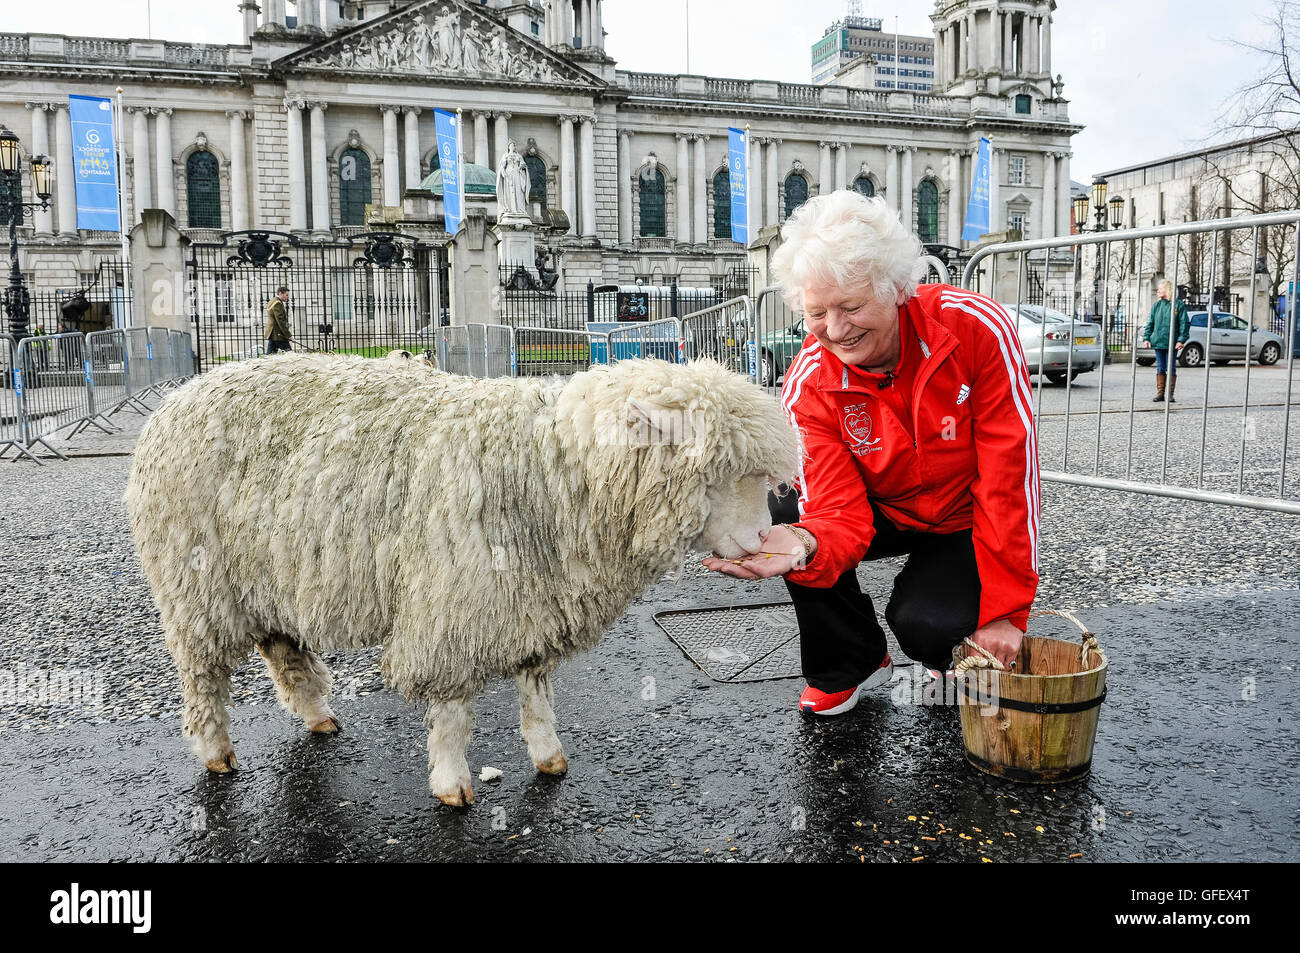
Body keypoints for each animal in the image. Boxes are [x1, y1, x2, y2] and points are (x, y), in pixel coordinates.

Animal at [124, 353, 790, 806]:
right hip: (195, 582)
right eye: (725, 471)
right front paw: (451, 783)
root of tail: (174, 401)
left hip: (266, 573)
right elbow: (450, 710)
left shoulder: (533, 597)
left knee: (283, 648)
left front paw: (548, 756)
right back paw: (216, 752)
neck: (555, 468)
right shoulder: (452, 601)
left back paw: (316, 713)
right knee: (203, 676)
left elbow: (536, 690)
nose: (764, 539)